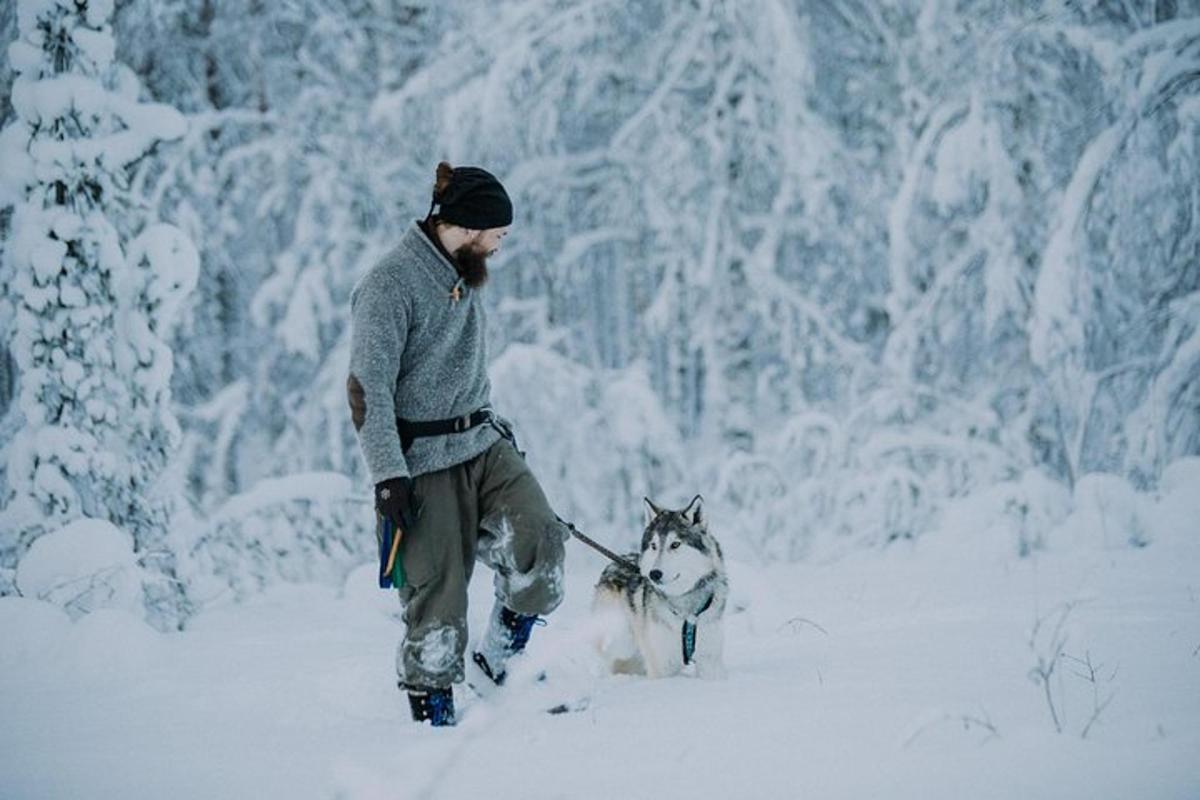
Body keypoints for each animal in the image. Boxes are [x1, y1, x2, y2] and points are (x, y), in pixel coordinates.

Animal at [592, 496, 724, 681]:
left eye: (675, 544)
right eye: (654, 546)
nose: (654, 574)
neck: (685, 608)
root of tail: (613, 564)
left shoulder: (711, 663)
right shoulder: (662, 666)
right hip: (622, 641)